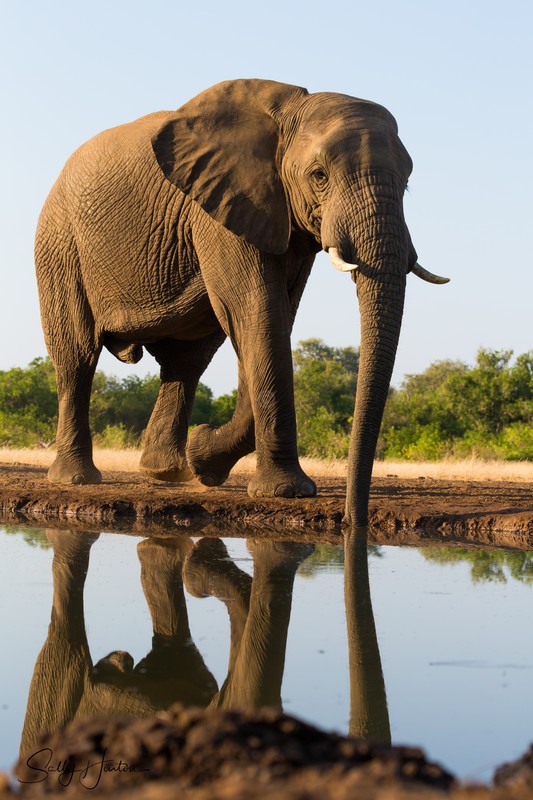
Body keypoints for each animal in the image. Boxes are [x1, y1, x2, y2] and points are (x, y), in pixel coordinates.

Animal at [35, 78, 448, 524]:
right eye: (319, 175)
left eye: (406, 182)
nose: (350, 519)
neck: (289, 114)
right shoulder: (221, 209)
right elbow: (259, 315)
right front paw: (285, 491)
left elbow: (271, 320)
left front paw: (204, 459)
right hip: (59, 244)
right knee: (77, 356)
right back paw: (77, 479)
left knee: (187, 360)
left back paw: (168, 473)